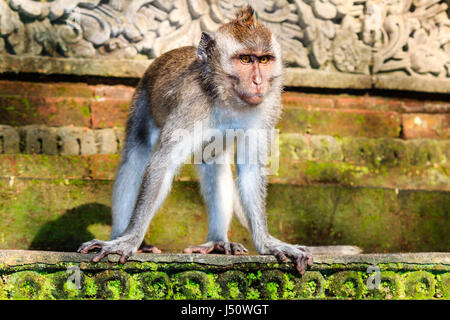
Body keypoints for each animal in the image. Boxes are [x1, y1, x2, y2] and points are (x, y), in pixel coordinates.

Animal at [77, 6, 358, 274]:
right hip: (142, 97)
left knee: (214, 163)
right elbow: (161, 164)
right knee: (135, 155)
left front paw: (267, 243)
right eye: (245, 59)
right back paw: (121, 234)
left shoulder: (268, 107)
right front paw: (129, 240)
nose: (258, 81)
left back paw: (217, 242)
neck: (227, 96)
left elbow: (250, 169)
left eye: (264, 60)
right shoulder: (191, 103)